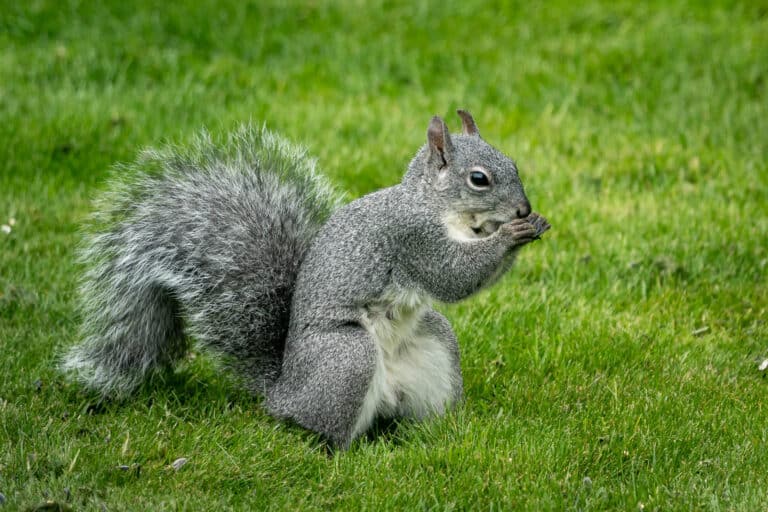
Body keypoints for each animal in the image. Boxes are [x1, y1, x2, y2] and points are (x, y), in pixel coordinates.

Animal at [61, 110, 550, 448]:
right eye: (479, 179)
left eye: (513, 163)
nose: (524, 208)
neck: (436, 206)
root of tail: (282, 392)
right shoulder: (412, 239)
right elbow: (453, 276)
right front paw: (512, 234)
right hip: (347, 357)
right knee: (323, 428)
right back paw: (340, 451)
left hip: (434, 343)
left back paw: (442, 431)